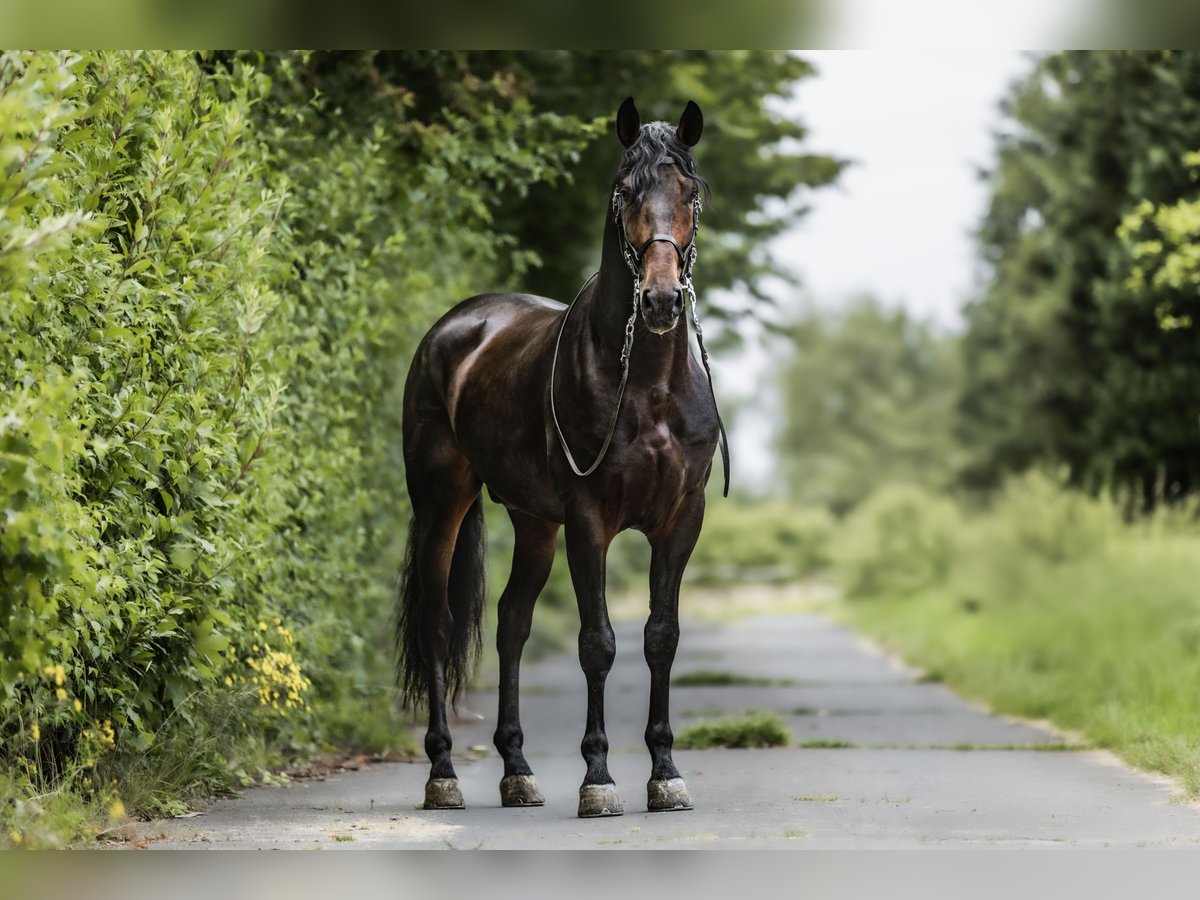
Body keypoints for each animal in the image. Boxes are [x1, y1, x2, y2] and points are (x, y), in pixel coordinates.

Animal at [398, 97, 724, 816]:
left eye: (691, 193)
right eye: (624, 191)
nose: (660, 300)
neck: (648, 383)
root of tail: (455, 326)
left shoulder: (679, 520)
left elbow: (661, 636)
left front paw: (665, 774)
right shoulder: (587, 520)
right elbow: (597, 643)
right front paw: (598, 779)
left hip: (533, 523)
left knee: (511, 623)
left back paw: (517, 771)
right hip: (443, 504)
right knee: (438, 623)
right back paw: (444, 774)